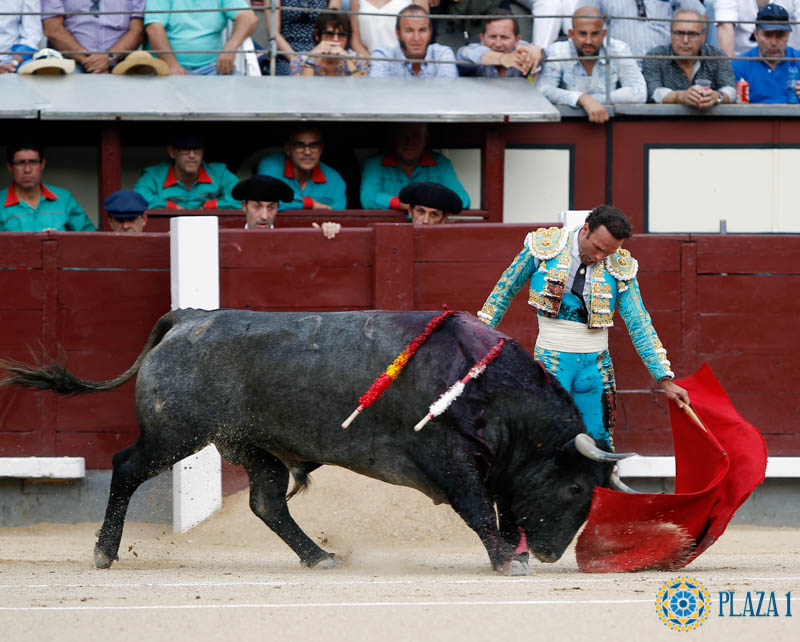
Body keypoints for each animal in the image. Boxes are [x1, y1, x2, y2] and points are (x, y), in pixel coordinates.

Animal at [0, 308, 624, 572]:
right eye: (575, 490)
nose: (550, 555)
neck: (490, 389)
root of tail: (189, 317)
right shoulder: (449, 461)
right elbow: (477, 509)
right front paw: (505, 561)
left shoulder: (495, 470)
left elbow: (501, 509)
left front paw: (511, 553)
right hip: (175, 434)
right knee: (127, 467)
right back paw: (104, 552)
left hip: (246, 445)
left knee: (266, 500)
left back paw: (318, 555)